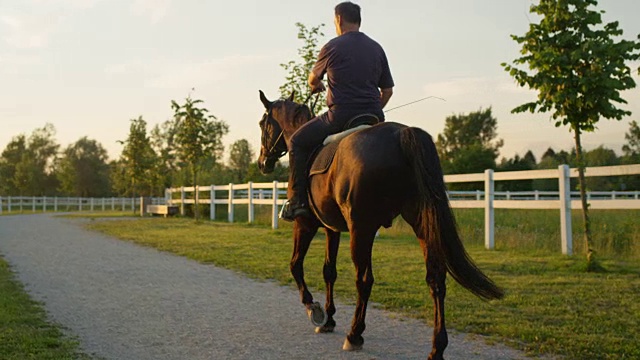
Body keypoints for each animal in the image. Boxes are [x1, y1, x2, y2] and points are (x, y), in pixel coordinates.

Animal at [256, 90, 504, 360]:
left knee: (364, 280)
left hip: (362, 229)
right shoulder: (332, 229)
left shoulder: (305, 224)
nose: (262, 163)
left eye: (262, 123)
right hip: (420, 224)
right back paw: (437, 347)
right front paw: (329, 319)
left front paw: (315, 309)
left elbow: (295, 265)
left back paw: (354, 334)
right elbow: (329, 271)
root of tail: (401, 134)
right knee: (436, 279)